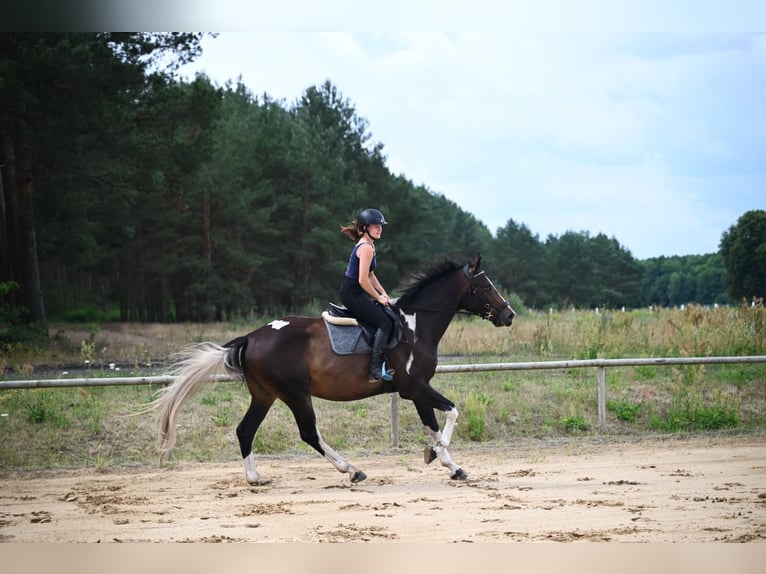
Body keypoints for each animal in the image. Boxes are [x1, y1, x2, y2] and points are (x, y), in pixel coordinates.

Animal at [154, 254, 515, 485]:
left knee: (245, 430)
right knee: (308, 432)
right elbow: (451, 413)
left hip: (265, 394)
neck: (416, 325)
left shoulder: (416, 390)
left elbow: (433, 425)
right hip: (295, 393)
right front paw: (438, 453)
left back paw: (255, 478)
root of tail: (253, 336)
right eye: (485, 286)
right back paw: (351, 470)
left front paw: (450, 465)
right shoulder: (414, 387)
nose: (509, 315)